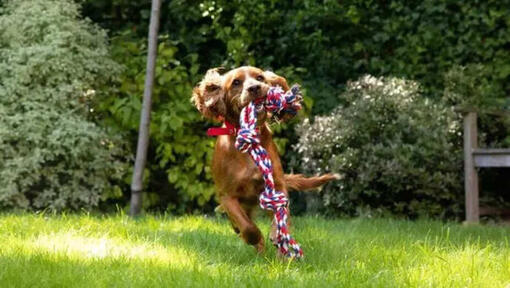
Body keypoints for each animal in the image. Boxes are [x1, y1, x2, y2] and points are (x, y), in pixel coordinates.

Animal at [191, 66, 338, 255]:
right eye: (236, 82)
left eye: (260, 77)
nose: (254, 88)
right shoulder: (227, 195)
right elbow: (248, 227)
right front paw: (256, 238)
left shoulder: (277, 185)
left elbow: (281, 215)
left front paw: (277, 234)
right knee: (240, 224)